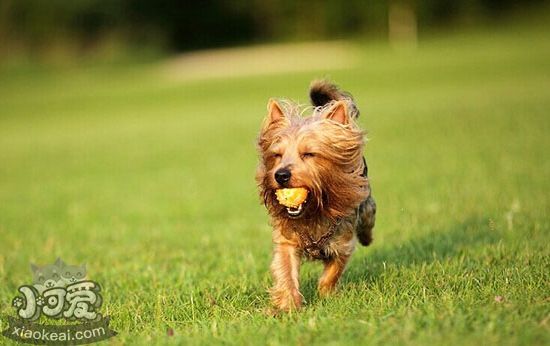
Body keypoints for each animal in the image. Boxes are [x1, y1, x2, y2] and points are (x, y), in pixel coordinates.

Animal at [256, 79, 378, 312]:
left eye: (309, 154)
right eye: (277, 155)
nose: (281, 175)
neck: (313, 209)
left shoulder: (343, 242)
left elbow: (333, 271)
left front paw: (326, 293)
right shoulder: (286, 241)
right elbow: (285, 270)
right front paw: (288, 305)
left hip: (366, 202)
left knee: (368, 218)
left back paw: (367, 237)